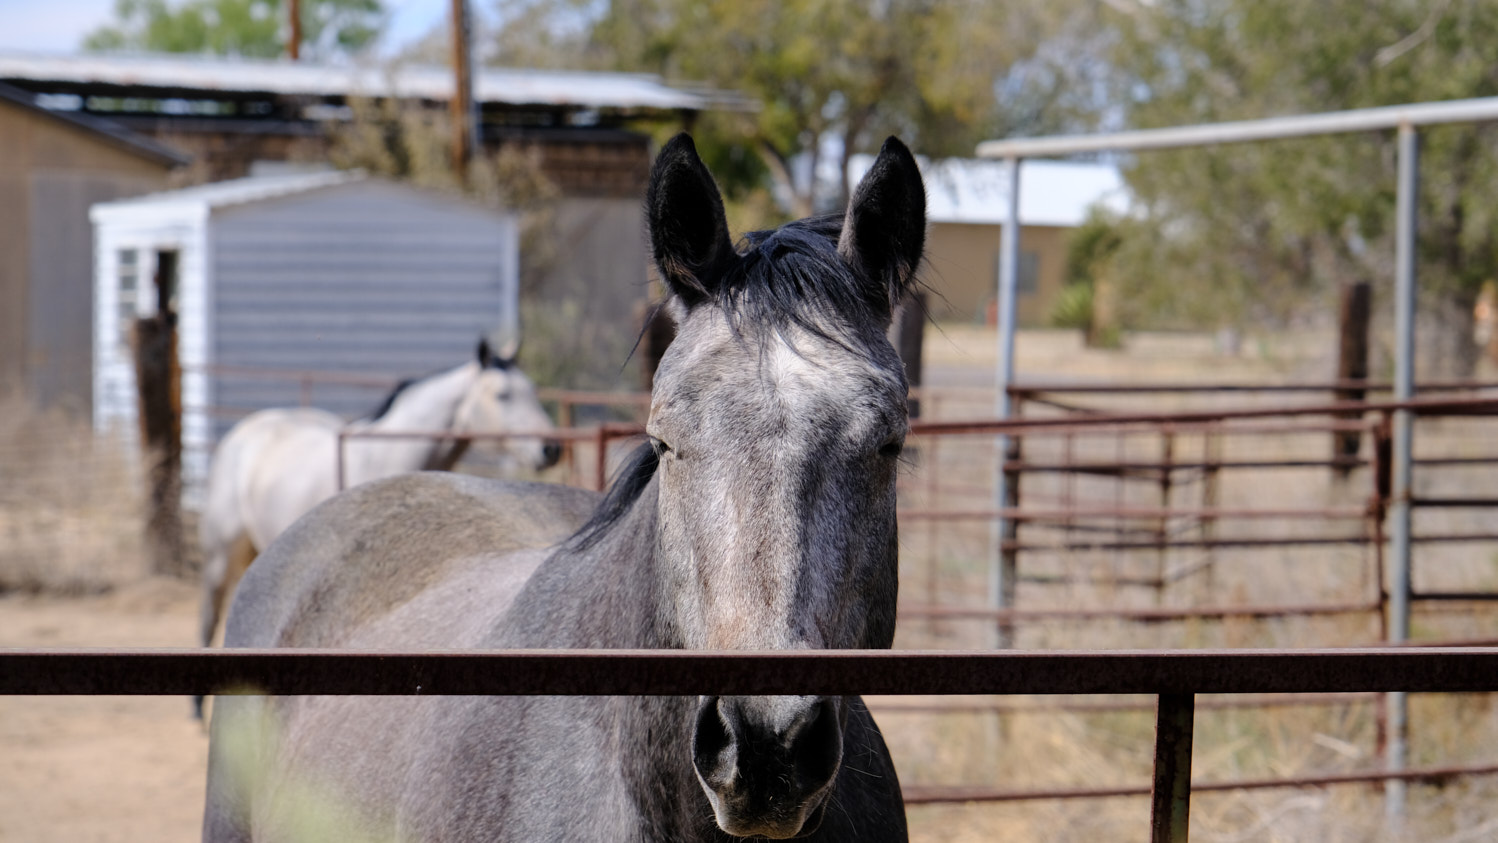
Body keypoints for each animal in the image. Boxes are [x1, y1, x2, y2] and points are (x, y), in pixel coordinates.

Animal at [193, 339, 557, 709]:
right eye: (503, 395)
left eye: (532, 391)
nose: (551, 449)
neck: (387, 455)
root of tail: (251, 427)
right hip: (221, 554)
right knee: (210, 615)